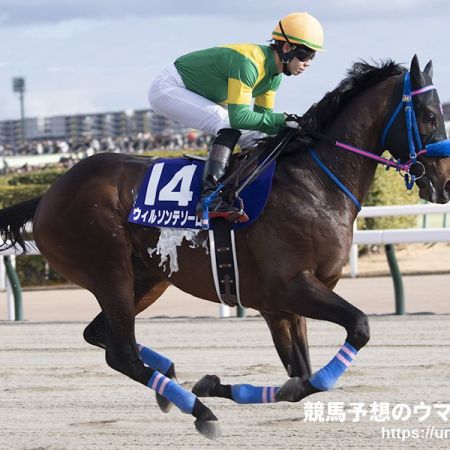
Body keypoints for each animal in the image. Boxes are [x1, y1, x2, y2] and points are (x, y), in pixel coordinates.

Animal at [1, 55, 449, 440]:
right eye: (429, 115)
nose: (444, 184)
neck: (314, 183)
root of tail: (48, 194)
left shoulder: (281, 305)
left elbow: (300, 378)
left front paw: (216, 384)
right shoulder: (290, 288)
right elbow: (356, 329)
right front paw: (214, 392)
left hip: (147, 277)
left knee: (101, 334)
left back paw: (169, 377)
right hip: (110, 270)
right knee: (120, 352)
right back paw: (198, 410)